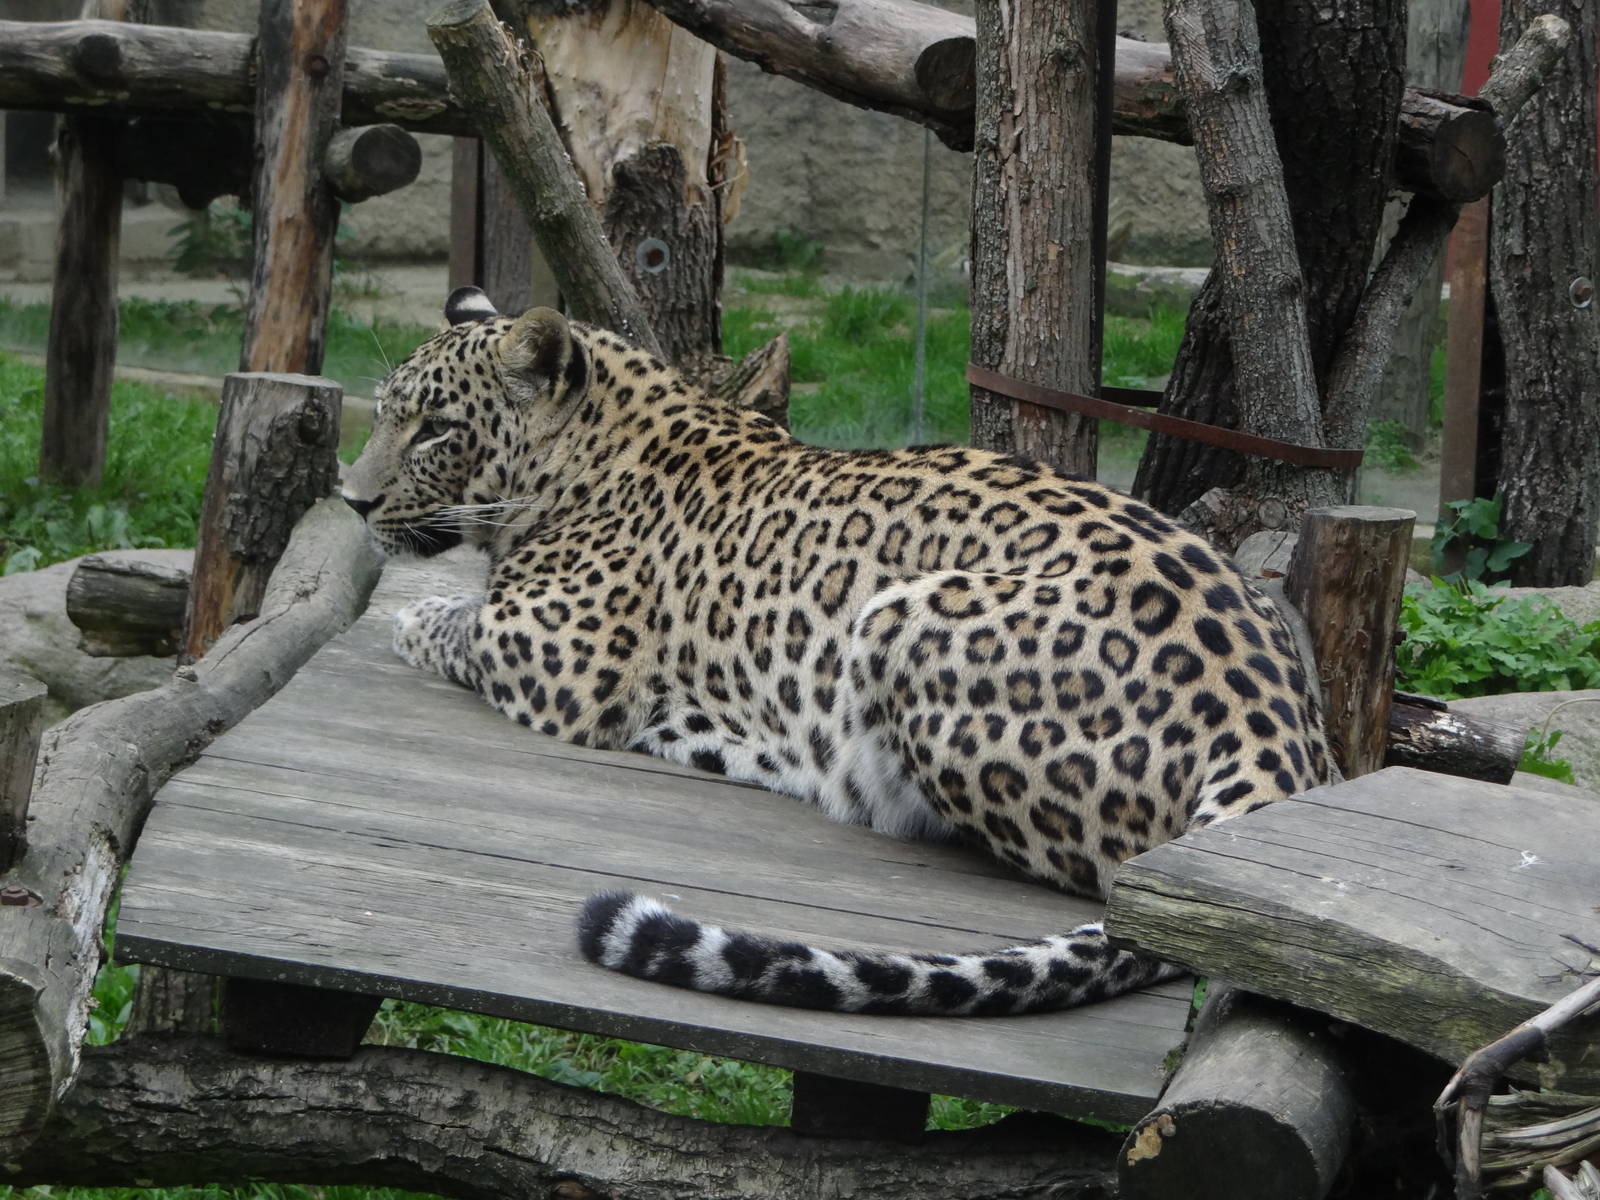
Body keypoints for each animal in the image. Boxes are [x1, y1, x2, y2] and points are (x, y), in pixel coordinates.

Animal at [341, 286, 1332, 1017]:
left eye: (435, 429)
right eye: (385, 415)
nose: (351, 500)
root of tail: (1279, 731)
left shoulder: (556, 656)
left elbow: (452, 622)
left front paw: (414, 614)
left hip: (899, 618)